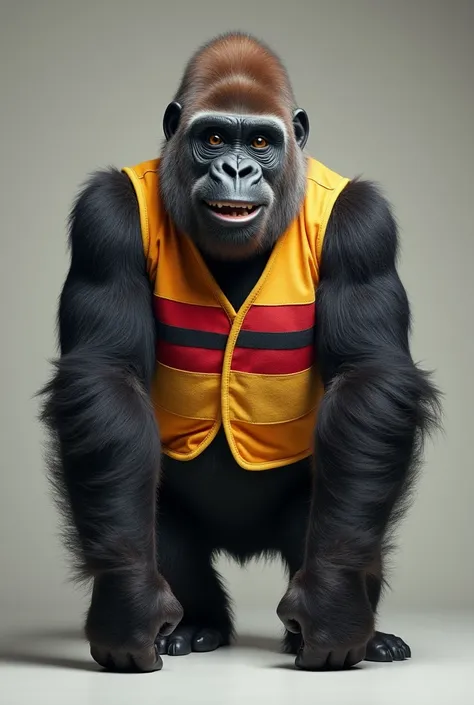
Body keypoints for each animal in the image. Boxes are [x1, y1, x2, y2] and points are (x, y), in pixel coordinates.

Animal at [40, 33, 440, 672]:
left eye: (259, 142)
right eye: (211, 140)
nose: (235, 168)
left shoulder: (366, 224)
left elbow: (369, 380)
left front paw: (333, 602)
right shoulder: (102, 216)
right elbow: (106, 378)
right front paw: (128, 601)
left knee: (340, 499)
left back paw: (356, 628)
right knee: (151, 510)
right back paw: (195, 623)